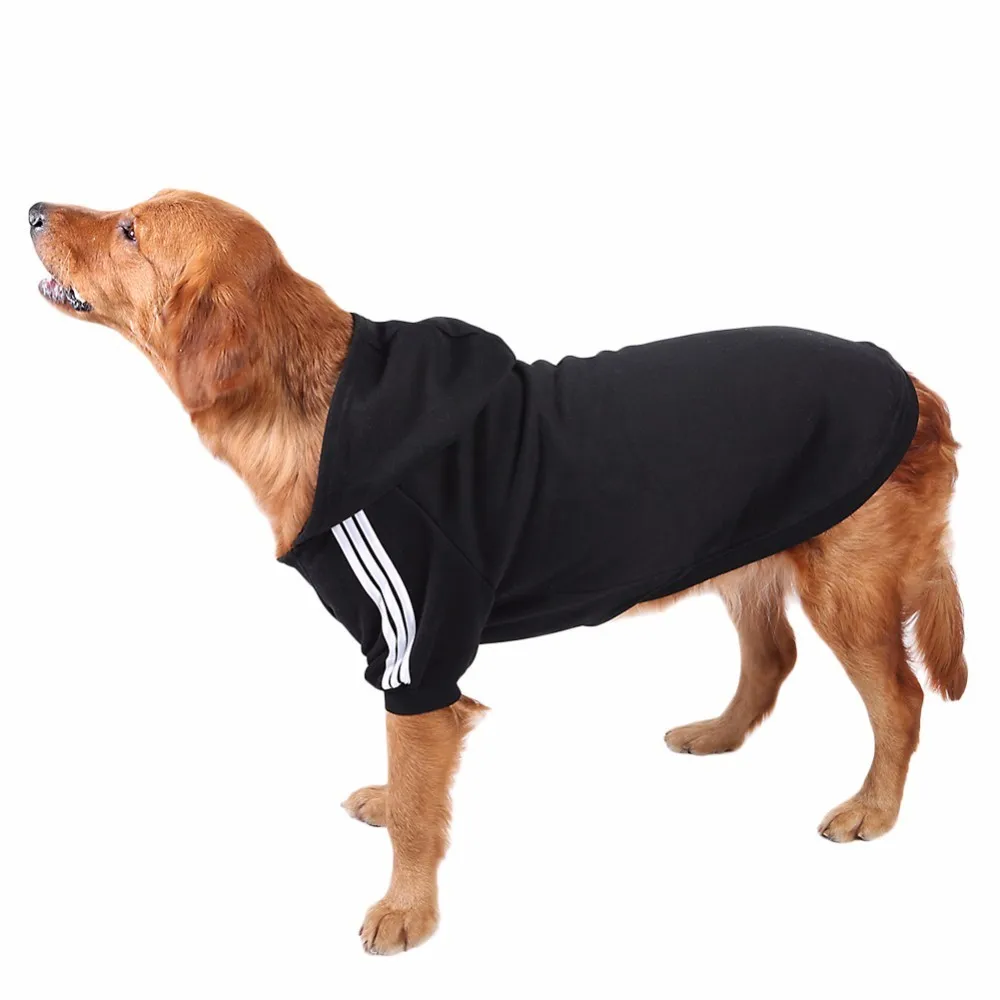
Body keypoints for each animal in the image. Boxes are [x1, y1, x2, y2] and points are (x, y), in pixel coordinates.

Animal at [29, 191, 966, 955]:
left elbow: (419, 808)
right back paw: (718, 733)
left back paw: (873, 809)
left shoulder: (418, 646)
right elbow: (411, 783)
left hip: (847, 590)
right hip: (746, 550)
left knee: (900, 700)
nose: (34, 209)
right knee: (773, 659)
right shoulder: (401, 656)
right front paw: (391, 811)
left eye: (128, 229)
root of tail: (913, 384)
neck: (320, 411)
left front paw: (406, 909)